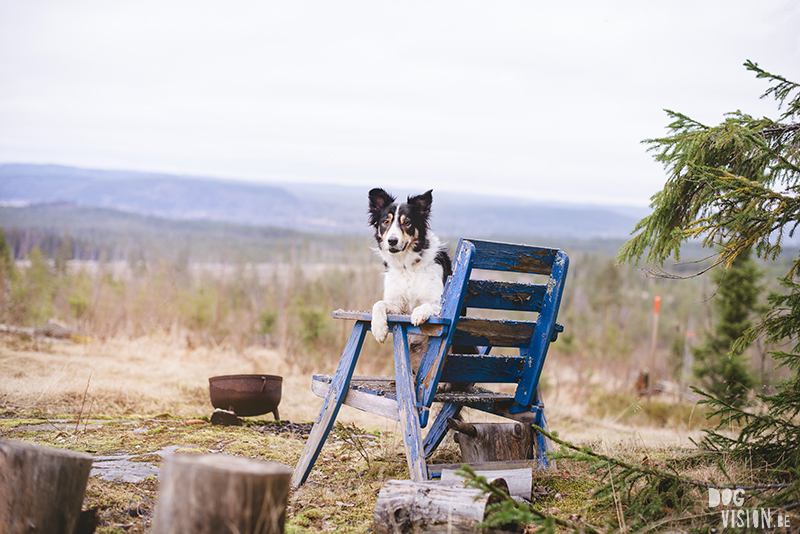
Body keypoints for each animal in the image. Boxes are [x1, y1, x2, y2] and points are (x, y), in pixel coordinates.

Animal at [368, 188, 450, 346]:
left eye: (406, 223)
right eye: (386, 222)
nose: (392, 241)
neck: (407, 266)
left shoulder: (441, 304)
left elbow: (427, 305)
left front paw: (418, 313)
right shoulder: (397, 306)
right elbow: (378, 304)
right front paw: (379, 329)